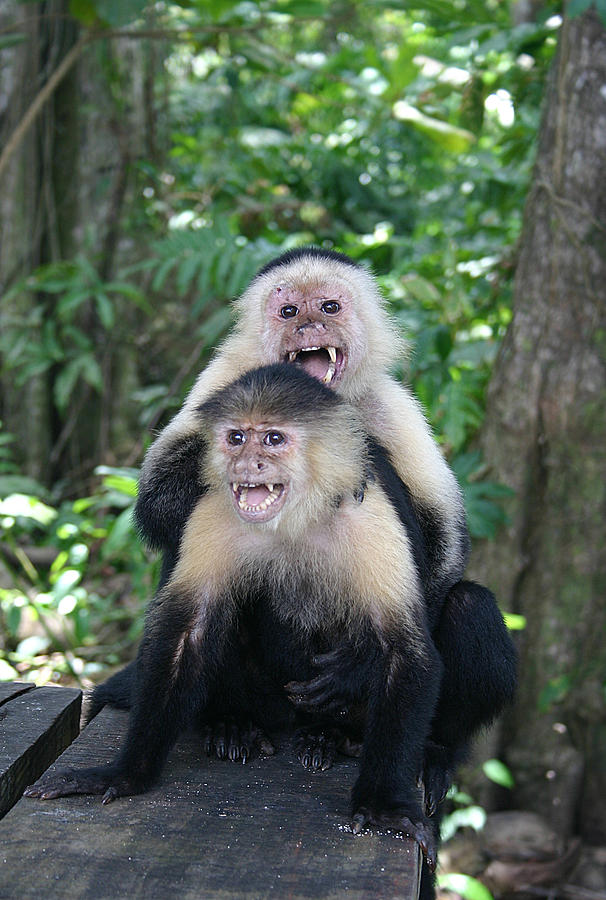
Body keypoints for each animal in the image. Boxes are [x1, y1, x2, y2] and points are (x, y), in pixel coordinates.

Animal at [25, 364, 452, 872]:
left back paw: (333, 737)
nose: (246, 465)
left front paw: (384, 804)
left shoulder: (371, 518)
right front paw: (127, 774)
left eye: (273, 439)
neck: (293, 518)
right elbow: (188, 631)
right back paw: (233, 725)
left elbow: (401, 650)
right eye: (235, 438)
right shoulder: (212, 511)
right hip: (264, 698)